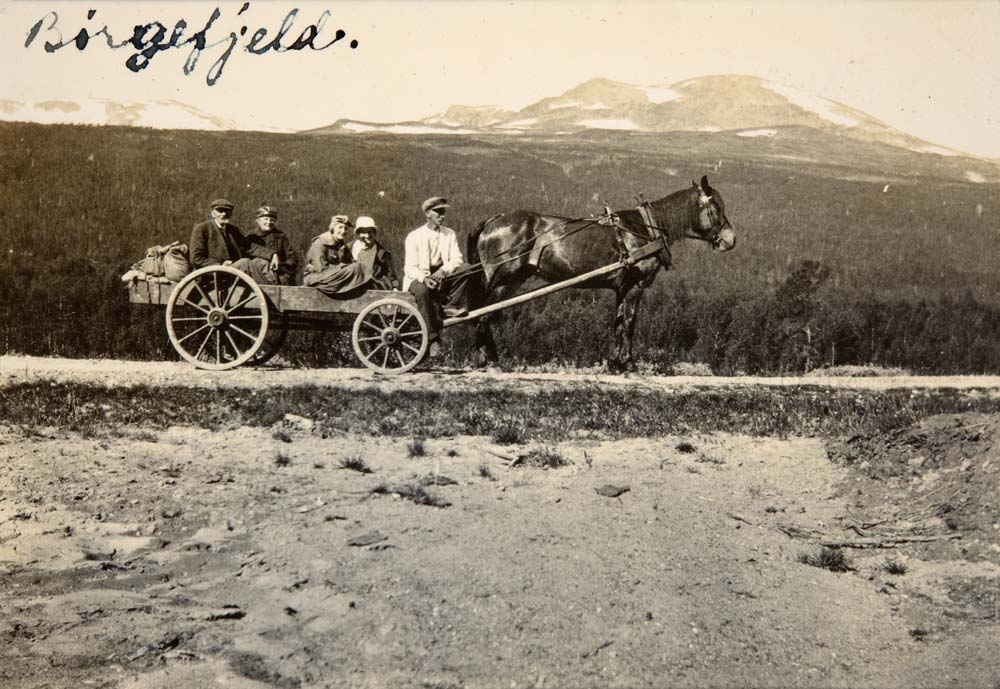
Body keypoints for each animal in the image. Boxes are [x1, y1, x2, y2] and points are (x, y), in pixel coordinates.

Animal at [466, 176, 736, 370]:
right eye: (716, 207)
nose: (730, 240)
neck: (646, 230)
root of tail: (492, 221)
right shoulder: (636, 286)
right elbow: (630, 323)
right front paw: (629, 363)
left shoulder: (622, 288)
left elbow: (618, 323)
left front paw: (614, 362)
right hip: (502, 279)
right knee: (483, 314)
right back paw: (489, 361)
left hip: (512, 281)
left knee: (483, 314)